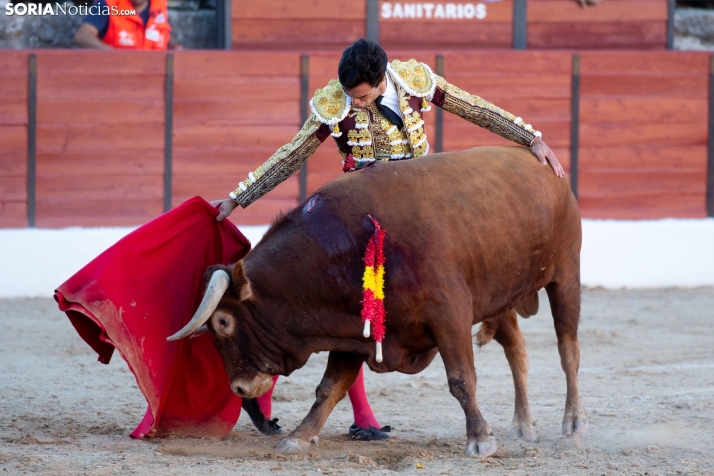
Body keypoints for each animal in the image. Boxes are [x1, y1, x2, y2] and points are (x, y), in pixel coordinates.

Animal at [167, 146, 584, 458]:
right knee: (518, 352)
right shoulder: (352, 329)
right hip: (501, 298)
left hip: (565, 275)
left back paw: (573, 424)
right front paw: (299, 437)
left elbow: (461, 379)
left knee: (568, 350)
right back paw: (523, 426)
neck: (341, 247)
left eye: (223, 321)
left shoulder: (449, 315)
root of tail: (546, 168)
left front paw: (480, 439)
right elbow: (329, 387)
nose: (238, 389)